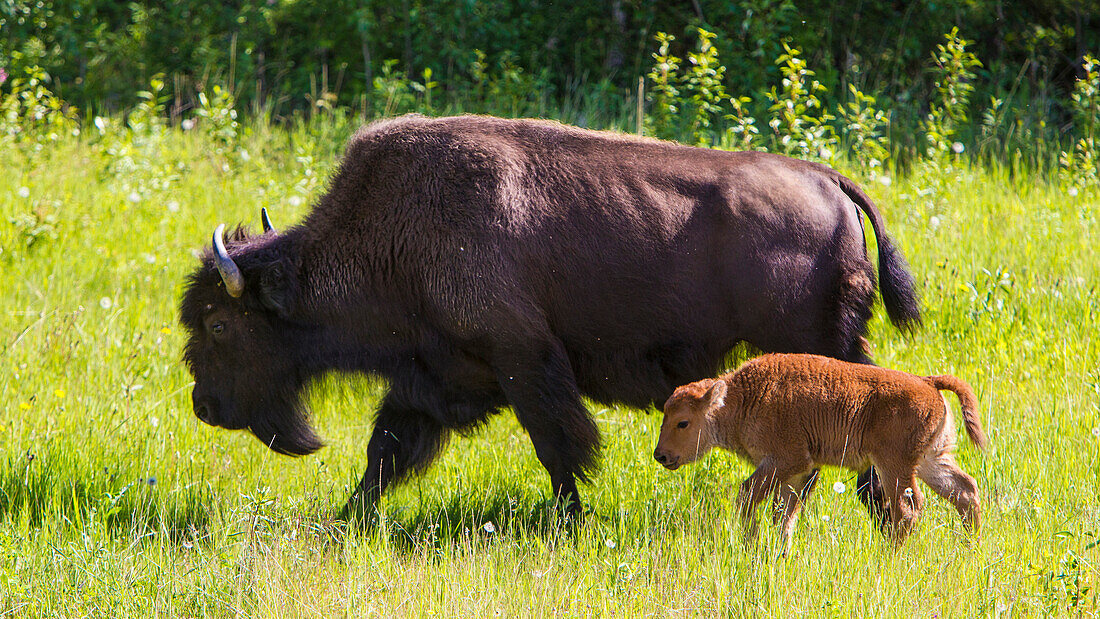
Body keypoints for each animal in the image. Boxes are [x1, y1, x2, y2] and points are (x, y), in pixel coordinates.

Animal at [180, 113, 919, 521]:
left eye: (219, 324)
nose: (204, 407)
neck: (389, 234)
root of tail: (827, 180)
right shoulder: (434, 377)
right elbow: (383, 452)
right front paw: (348, 519)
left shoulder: (524, 363)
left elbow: (557, 445)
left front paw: (570, 520)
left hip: (816, 347)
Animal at [651, 356, 990, 549]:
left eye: (683, 422)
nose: (661, 455)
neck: (741, 398)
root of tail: (927, 382)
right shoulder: (797, 473)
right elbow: (784, 514)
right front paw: (781, 552)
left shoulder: (786, 461)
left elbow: (747, 495)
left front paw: (752, 544)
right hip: (931, 461)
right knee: (964, 490)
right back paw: (970, 547)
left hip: (895, 466)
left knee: (906, 508)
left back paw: (890, 555)